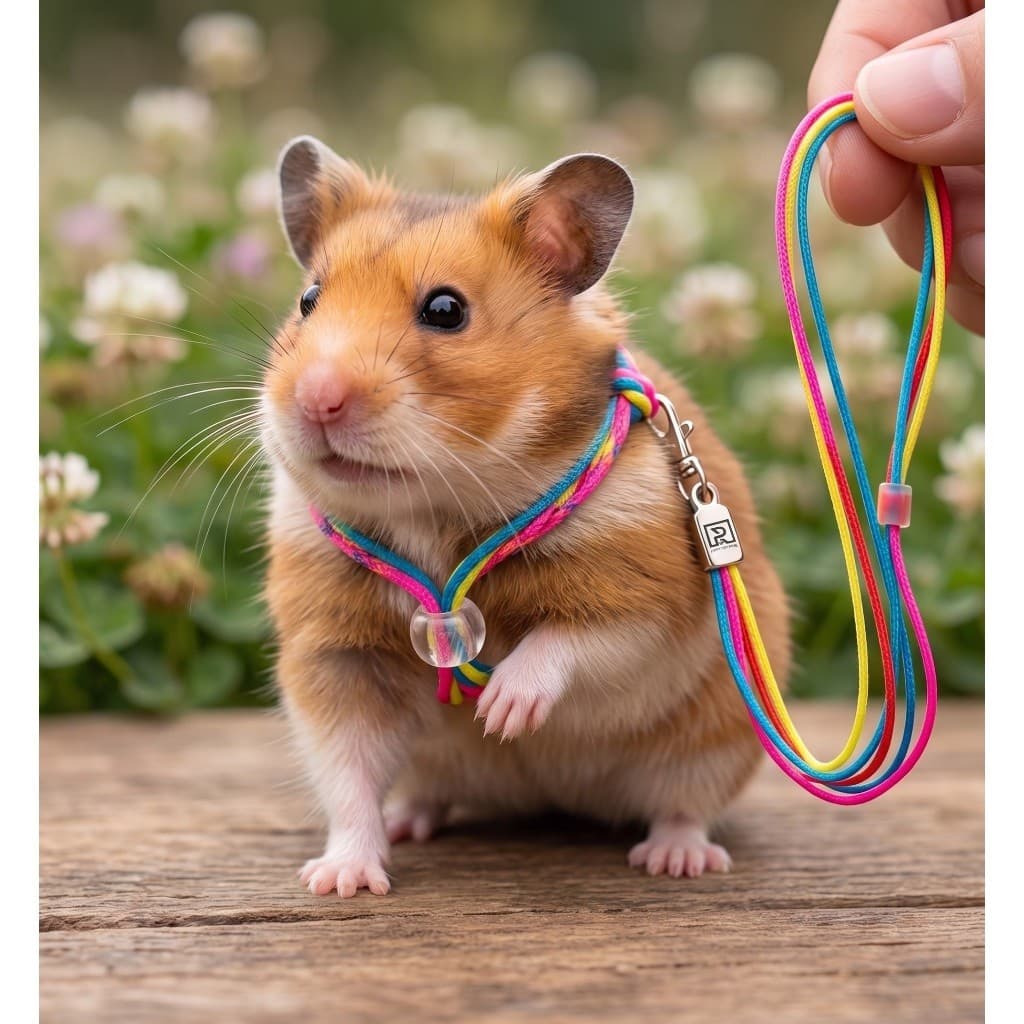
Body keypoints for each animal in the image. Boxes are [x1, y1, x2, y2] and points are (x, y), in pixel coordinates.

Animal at [261, 136, 791, 897]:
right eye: (308, 300)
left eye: (445, 309)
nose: (315, 400)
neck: (436, 508)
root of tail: (553, 798)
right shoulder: (336, 659)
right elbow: (348, 775)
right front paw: (339, 881)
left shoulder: (646, 594)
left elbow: (571, 642)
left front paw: (503, 716)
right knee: (420, 794)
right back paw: (410, 820)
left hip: (715, 738)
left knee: (684, 807)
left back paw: (675, 859)